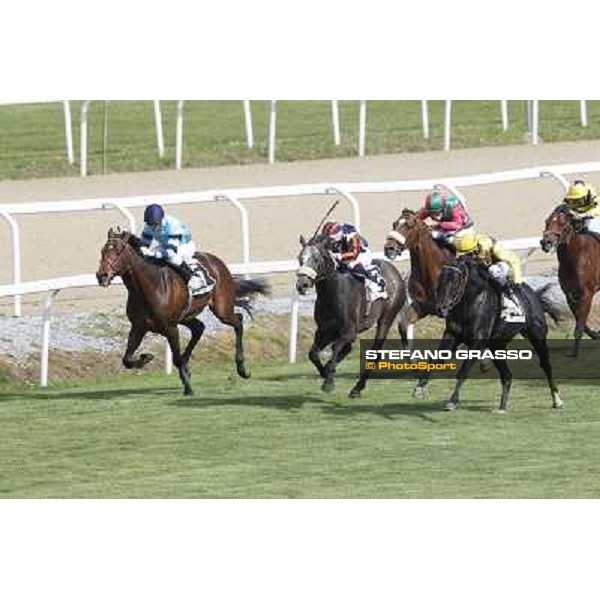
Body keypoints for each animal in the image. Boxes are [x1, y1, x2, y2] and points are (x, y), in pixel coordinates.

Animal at [96, 229, 270, 394]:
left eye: (117, 251)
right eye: (103, 251)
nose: (101, 275)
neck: (149, 287)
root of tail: (217, 261)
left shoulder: (170, 328)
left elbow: (176, 358)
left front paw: (188, 387)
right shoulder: (139, 327)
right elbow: (126, 359)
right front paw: (146, 357)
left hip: (221, 308)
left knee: (238, 321)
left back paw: (242, 369)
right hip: (186, 316)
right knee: (199, 328)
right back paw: (188, 368)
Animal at [540, 206, 600, 356]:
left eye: (563, 223)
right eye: (547, 222)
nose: (546, 242)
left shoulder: (587, 294)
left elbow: (580, 323)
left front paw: (574, 353)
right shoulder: (569, 294)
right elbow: (580, 319)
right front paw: (596, 334)